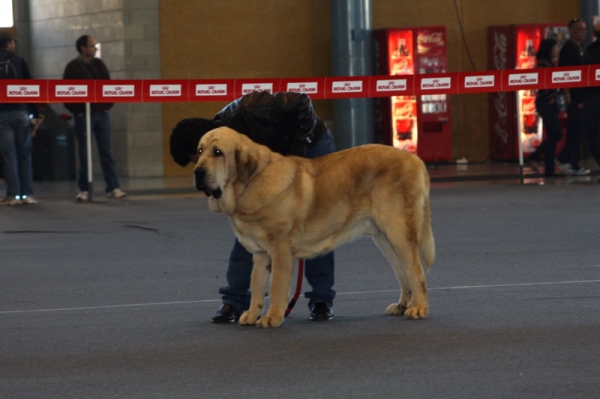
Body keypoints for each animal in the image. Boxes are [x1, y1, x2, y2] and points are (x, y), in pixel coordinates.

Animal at [197, 127, 436, 328]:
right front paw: (252, 314)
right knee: (402, 272)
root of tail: (415, 159)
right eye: (199, 150)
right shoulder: (260, 254)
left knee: (416, 270)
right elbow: (257, 285)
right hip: (384, 238)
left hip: (399, 230)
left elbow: (276, 287)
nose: (198, 171)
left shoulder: (280, 251)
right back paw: (403, 305)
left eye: (217, 152)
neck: (251, 183)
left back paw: (419, 308)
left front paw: (272, 317)